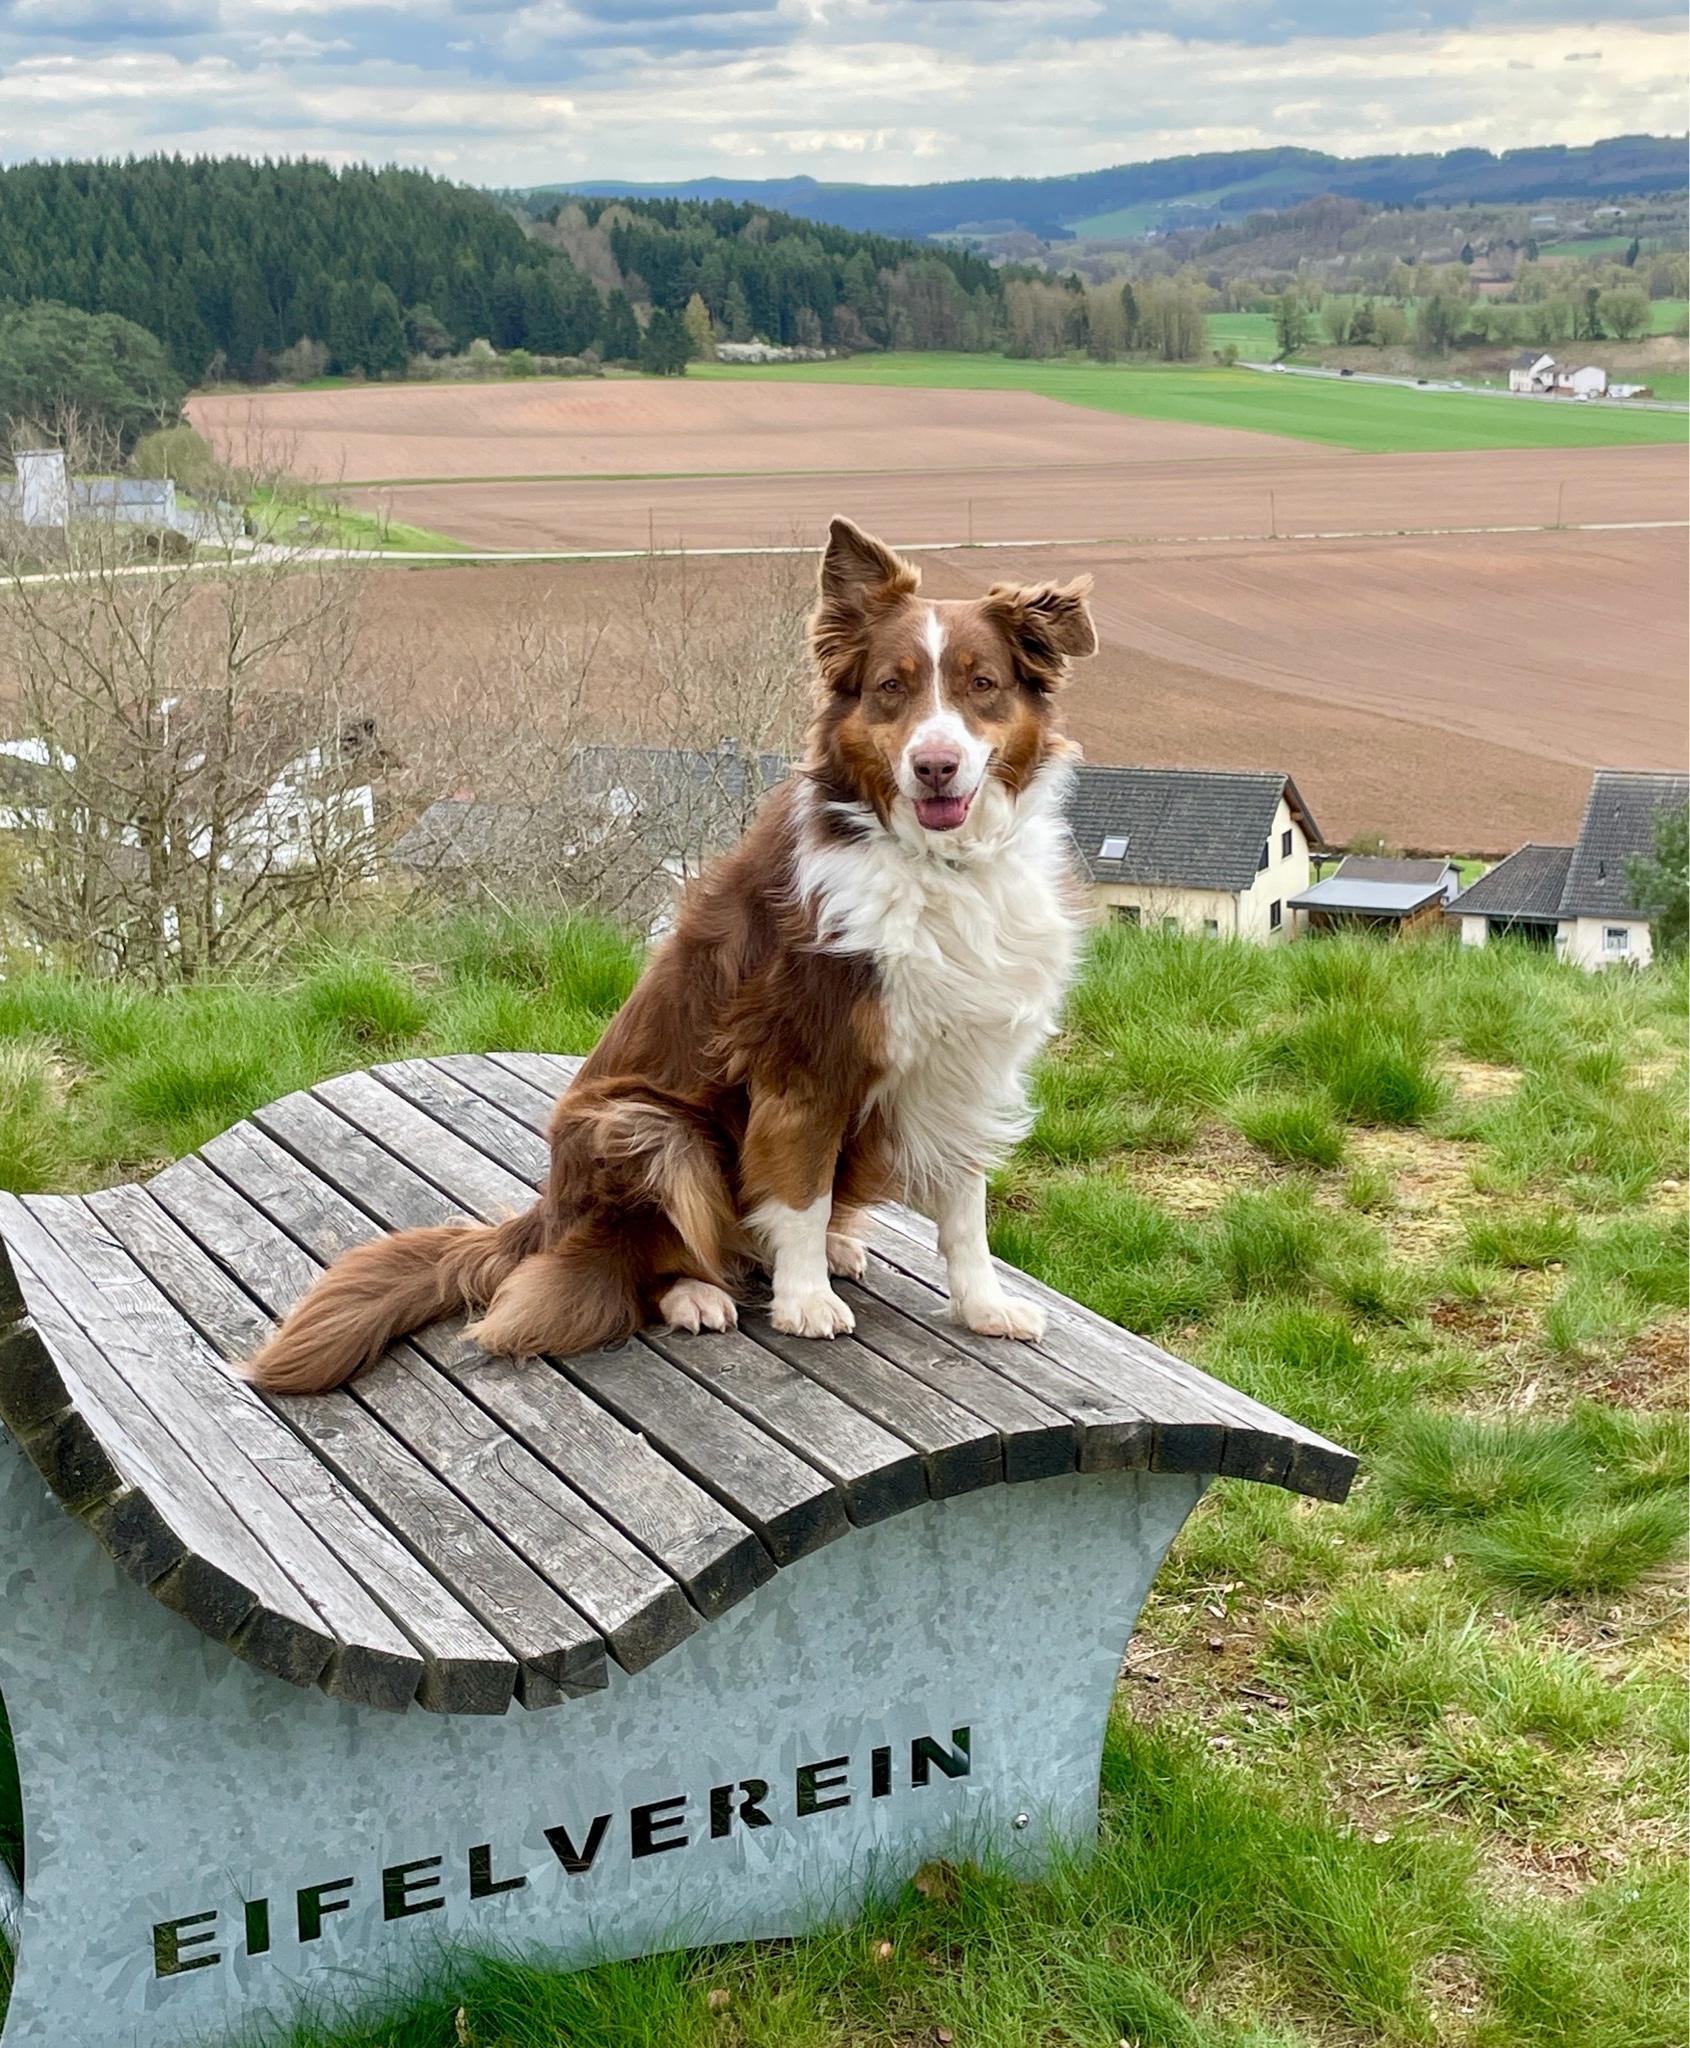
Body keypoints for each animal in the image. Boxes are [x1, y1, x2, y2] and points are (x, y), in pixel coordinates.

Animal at [245, 517, 1096, 1395]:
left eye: (982, 684)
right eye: (891, 688)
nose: (935, 765)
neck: (937, 865)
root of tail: (543, 1215)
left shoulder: (966, 1059)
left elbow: (965, 1210)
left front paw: (984, 1308)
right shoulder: (804, 1059)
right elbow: (799, 1192)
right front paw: (803, 1303)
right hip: (647, 1126)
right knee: (632, 1261)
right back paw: (697, 1293)